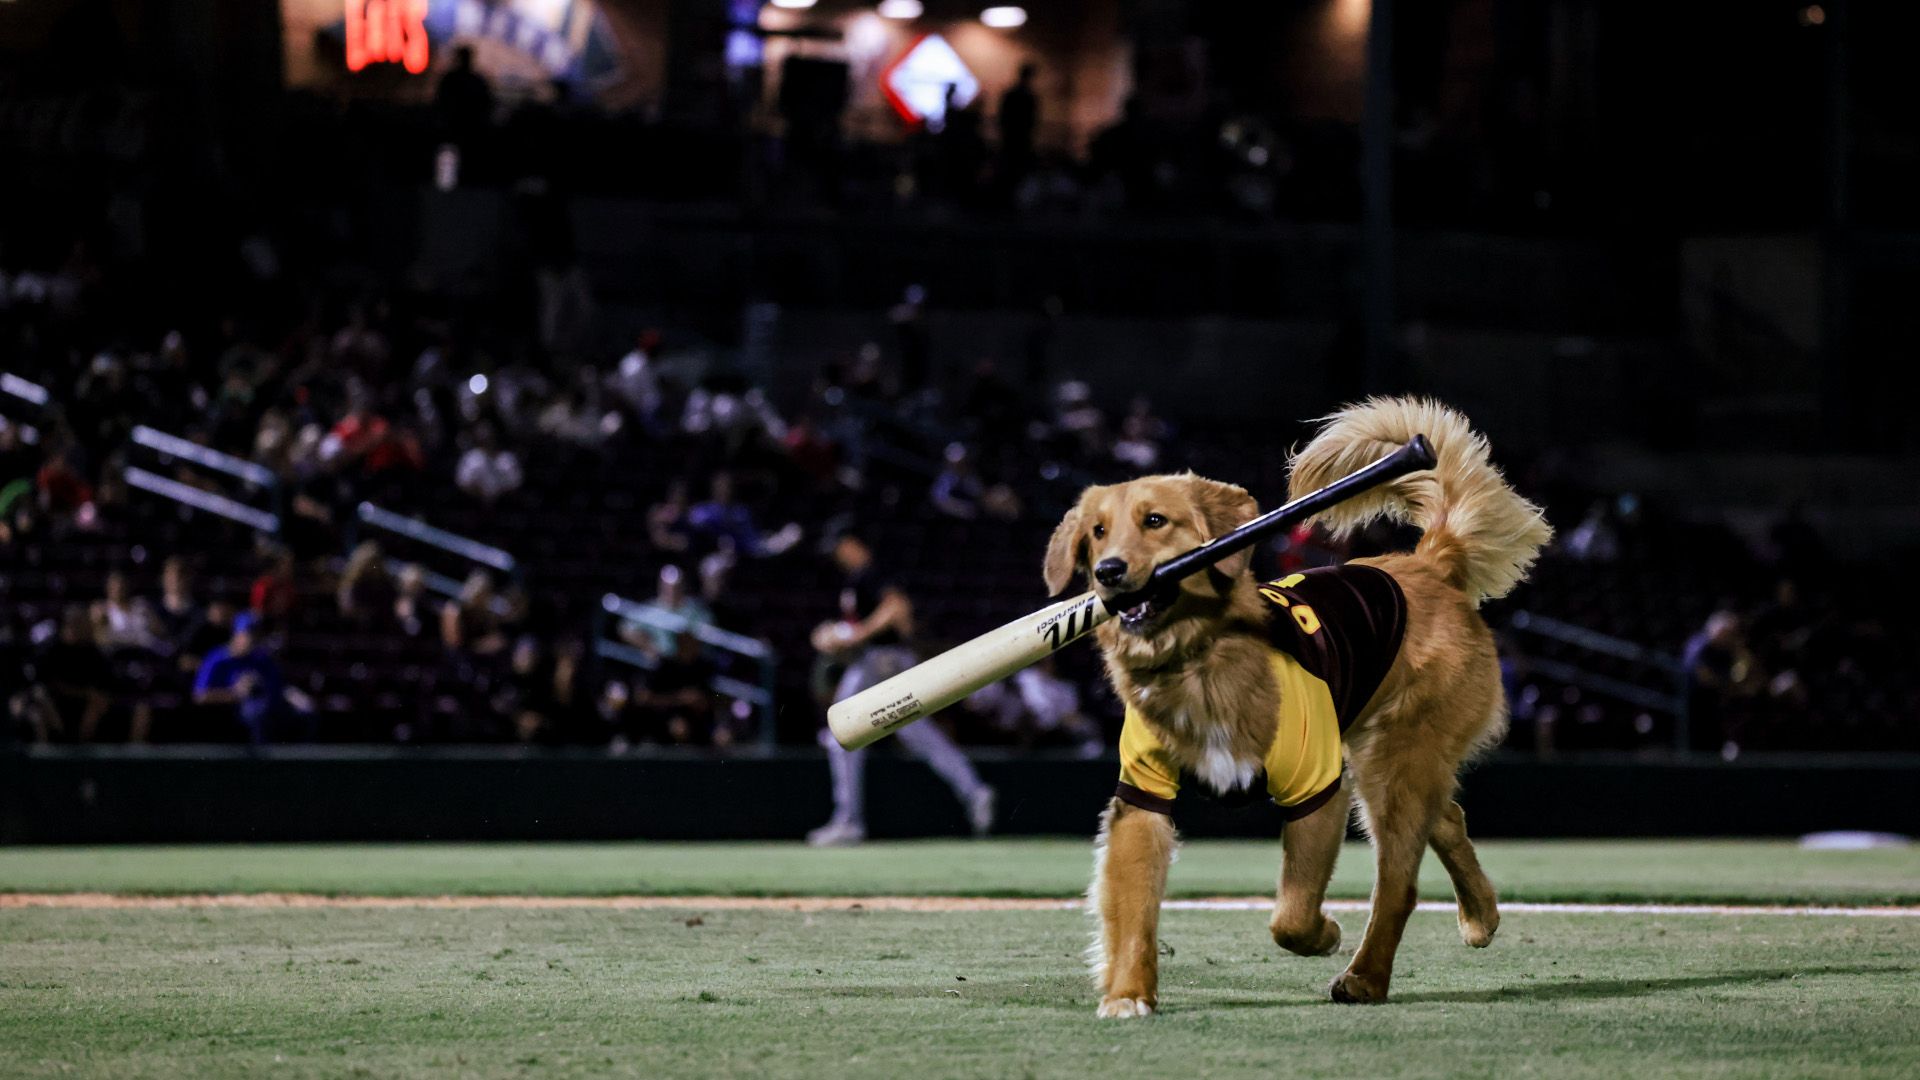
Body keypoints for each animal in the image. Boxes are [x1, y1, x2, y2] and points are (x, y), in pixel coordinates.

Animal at [1052, 395, 1559, 1006]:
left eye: (1155, 521)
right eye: (1098, 532)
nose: (1108, 573)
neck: (1200, 660)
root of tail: (1429, 563)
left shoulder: (1318, 787)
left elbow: (1290, 917)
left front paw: (1324, 934)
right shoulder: (1141, 798)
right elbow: (1132, 910)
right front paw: (1128, 994)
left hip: (1392, 764)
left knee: (1400, 884)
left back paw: (1367, 976)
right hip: (1393, 761)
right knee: (1447, 817)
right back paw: (1480, 914)